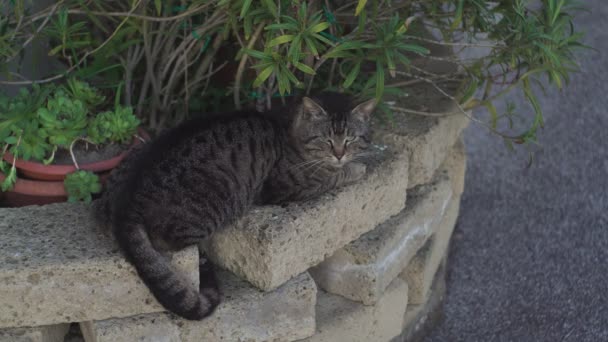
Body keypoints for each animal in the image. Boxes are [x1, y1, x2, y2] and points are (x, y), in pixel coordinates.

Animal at [95, 91, 376, 320]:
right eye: (326, 140)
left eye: (350, 140)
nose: (339, 154)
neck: (290, 129)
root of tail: (127, 206)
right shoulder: (285, 187)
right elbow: (332, 177)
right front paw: (355, 168)